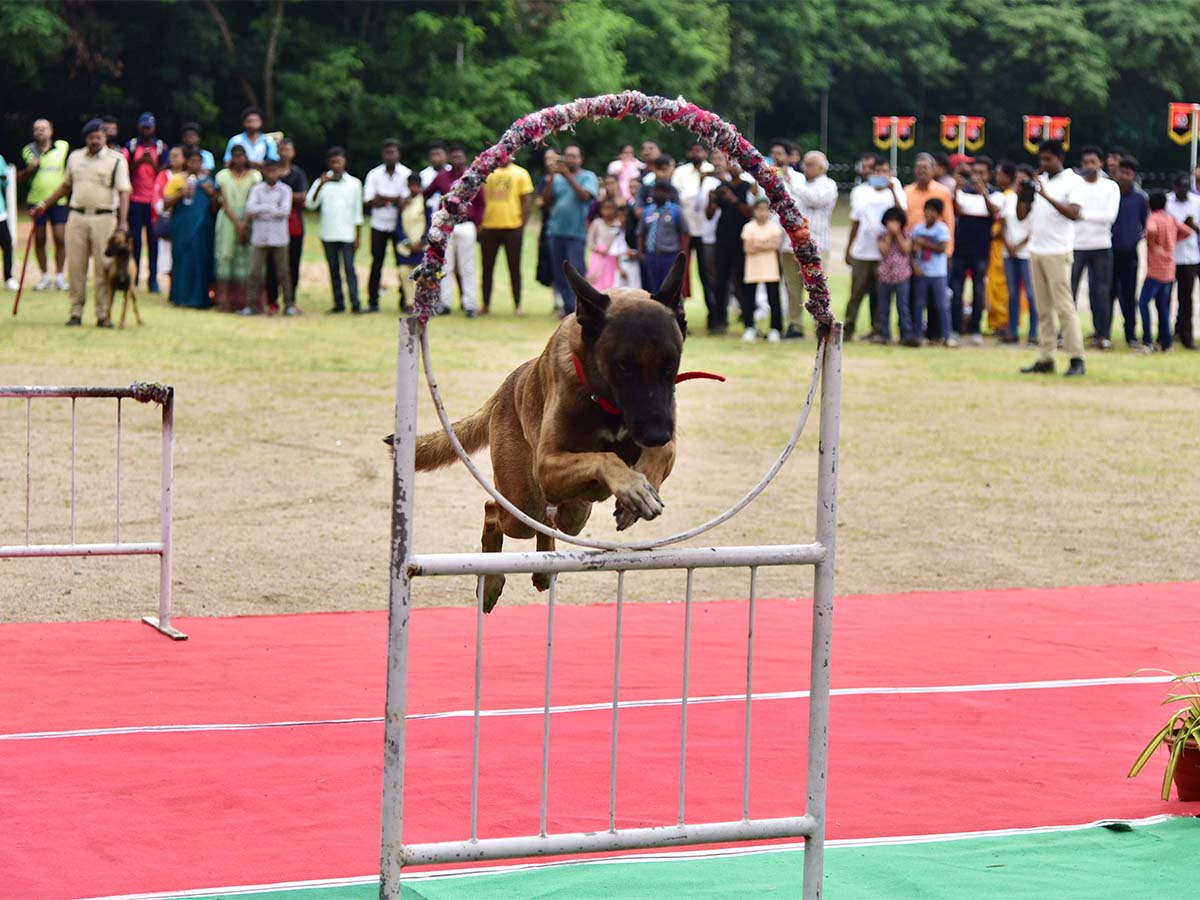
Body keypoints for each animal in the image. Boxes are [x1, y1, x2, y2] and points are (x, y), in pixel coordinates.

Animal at [388, 250, 691, 609]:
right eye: (624, 366)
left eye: (670, 365)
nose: (657, 432)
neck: (606, 402)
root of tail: (506, 387)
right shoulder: (548, 464)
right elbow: (606, 458)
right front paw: (634, 487)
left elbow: (662, 454)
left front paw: (643, 487)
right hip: (523, 505)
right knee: (495, 511)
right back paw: (491, 582)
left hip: (572, 511)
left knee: (551, 520)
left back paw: (543, 569)